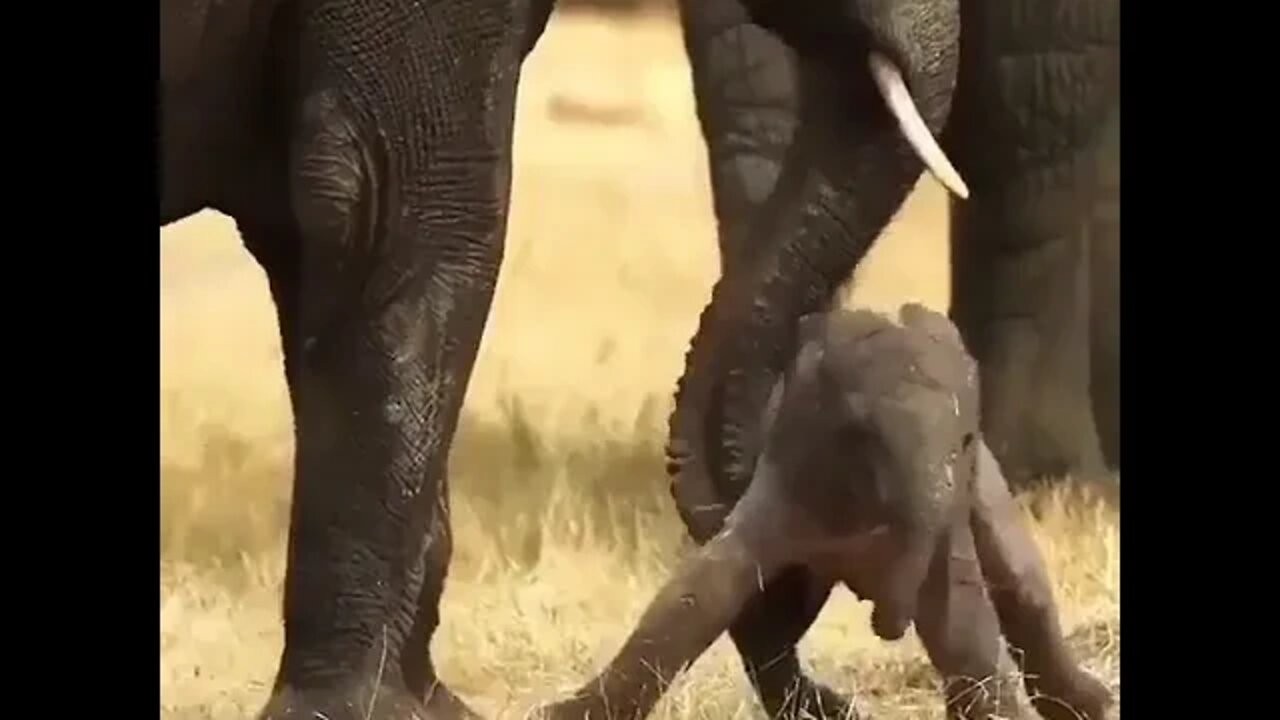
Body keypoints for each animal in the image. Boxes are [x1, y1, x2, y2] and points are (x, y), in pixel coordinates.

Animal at [545, 301, 1116, 717]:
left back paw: (1090, 703)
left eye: (965, 442)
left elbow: (959, 617)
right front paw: (561, 713)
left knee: (1022, 584)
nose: (887, 623)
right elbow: (702, 594)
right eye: (862, 434)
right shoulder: (794, 472)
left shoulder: (953, 498)